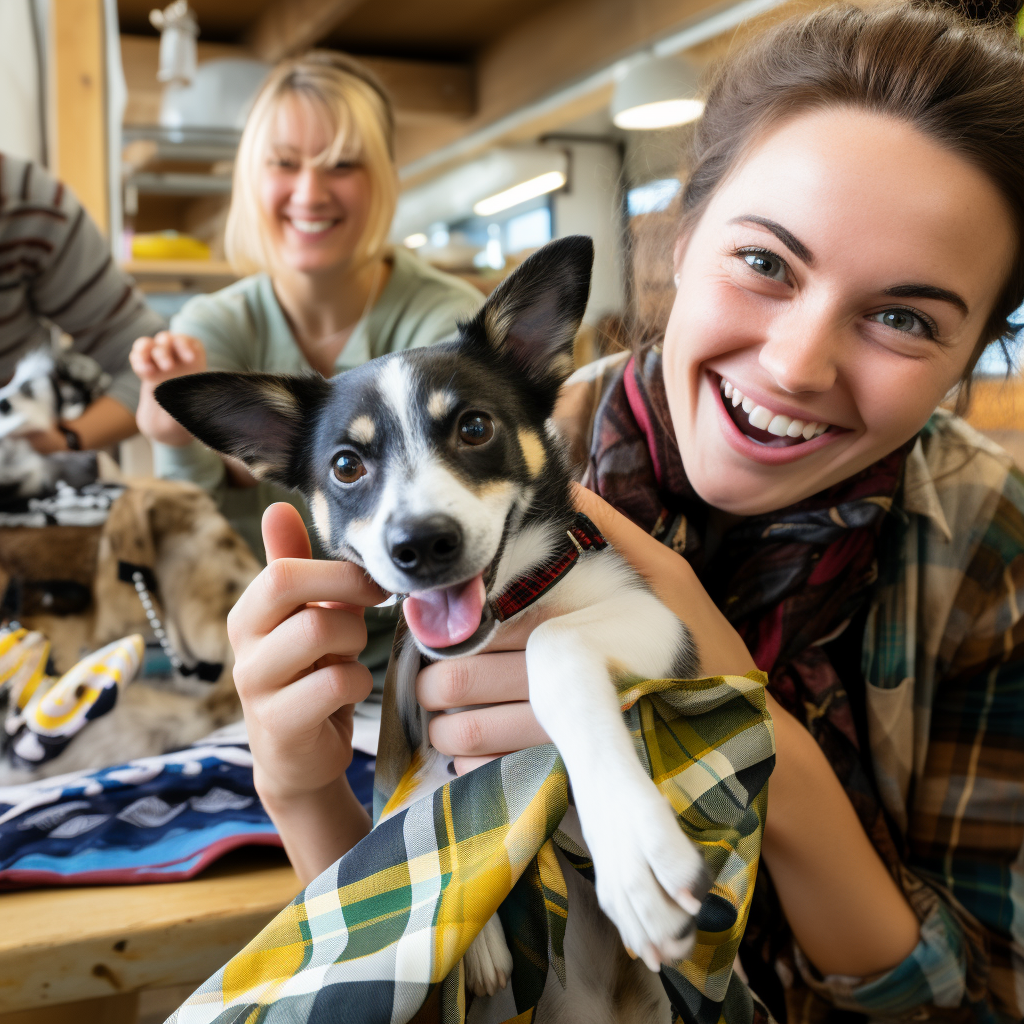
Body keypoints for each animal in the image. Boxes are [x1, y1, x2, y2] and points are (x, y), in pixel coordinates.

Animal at [157, 235, 712, 1019]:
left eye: (475, 427)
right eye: (347, 466)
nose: (421, 544)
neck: (510, 605)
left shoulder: (659, 621)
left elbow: (555, 643)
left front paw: (631, 848)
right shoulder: (404, 697)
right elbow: (411, 790)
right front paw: (473, 936)